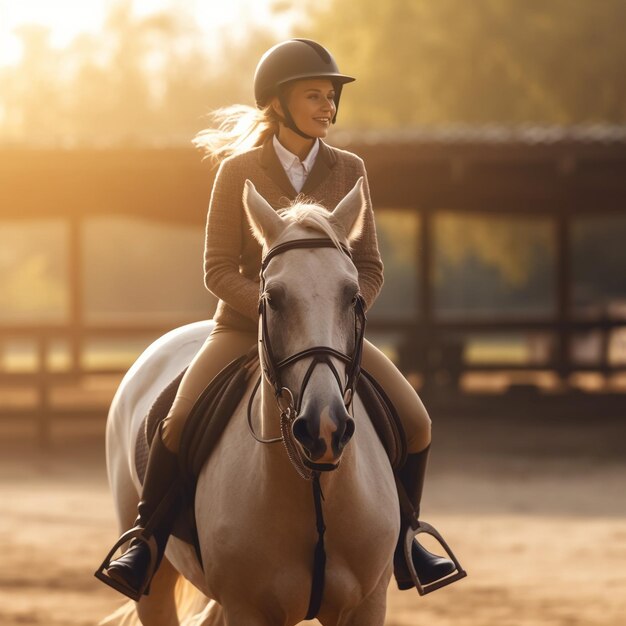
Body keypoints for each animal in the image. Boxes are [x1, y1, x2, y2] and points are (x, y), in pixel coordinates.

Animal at [100, 177, 398, 624]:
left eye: (353, 296)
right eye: (272, 297)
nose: (324, 427)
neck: (312, 487)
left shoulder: (366, 606)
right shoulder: (248, 608)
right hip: (155, 582)